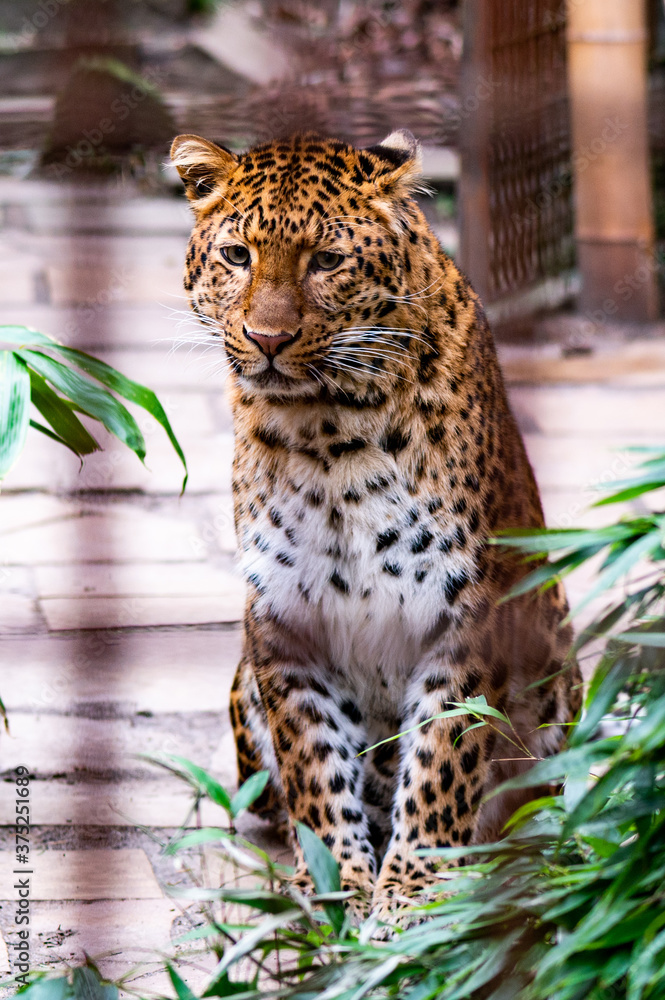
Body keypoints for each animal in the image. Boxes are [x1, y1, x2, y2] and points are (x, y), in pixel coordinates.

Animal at [171, 128, 583, 927]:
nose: (267, 339)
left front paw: (413, 893)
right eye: (237, 255)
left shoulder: (466, 612)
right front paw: (339, 882)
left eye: (326, 262)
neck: (327, 430)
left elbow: (443, 761)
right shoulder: (282, 618)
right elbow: (313, 761)